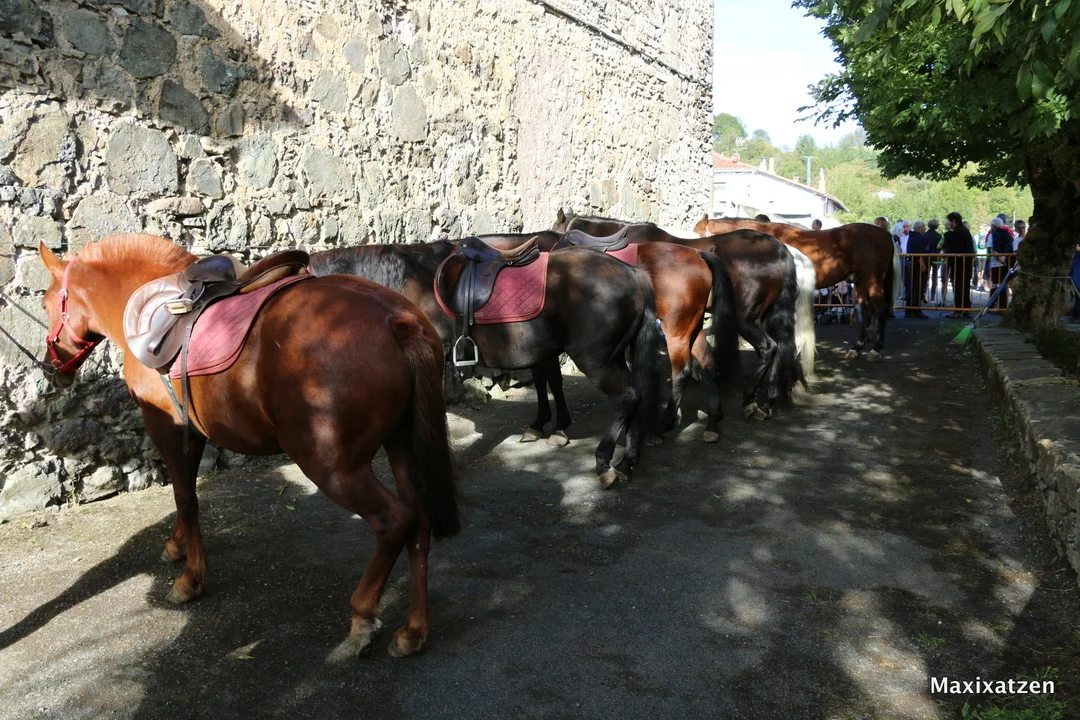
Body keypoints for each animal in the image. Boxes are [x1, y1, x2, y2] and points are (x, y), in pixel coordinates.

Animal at [37, 234, 461, 658]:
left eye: (45, 304)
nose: (50, 368)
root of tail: (397, 320)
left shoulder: (166, 428)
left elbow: (186, 499)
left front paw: (191, 580)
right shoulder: (193, 432)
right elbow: (186, 493)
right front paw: (177, 546)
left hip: (332, 466)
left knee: (395, 521)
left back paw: (362, 616)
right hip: (401, 446)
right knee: (420, 520)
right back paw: (413, 630)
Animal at [309, 241, 669, 488]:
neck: (407, 287)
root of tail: (632, 273)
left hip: (596, 359)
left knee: (627, 397)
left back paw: (605, 464)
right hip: (615, 356)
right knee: (637, 396)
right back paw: (627, 462)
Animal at [552, 211, 814, 419]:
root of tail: (781, 249)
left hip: (745, 318)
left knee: (769, 348)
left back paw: (751, 398)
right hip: (769, 314)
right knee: (782, 347)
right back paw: (769, 399)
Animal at [693, 215, 900, 360]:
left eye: (697, 234)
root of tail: (884, 234)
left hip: (873, 280)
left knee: (880, 310)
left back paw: (875, 350)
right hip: (860, 281)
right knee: (866, 311)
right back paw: (856, 349)